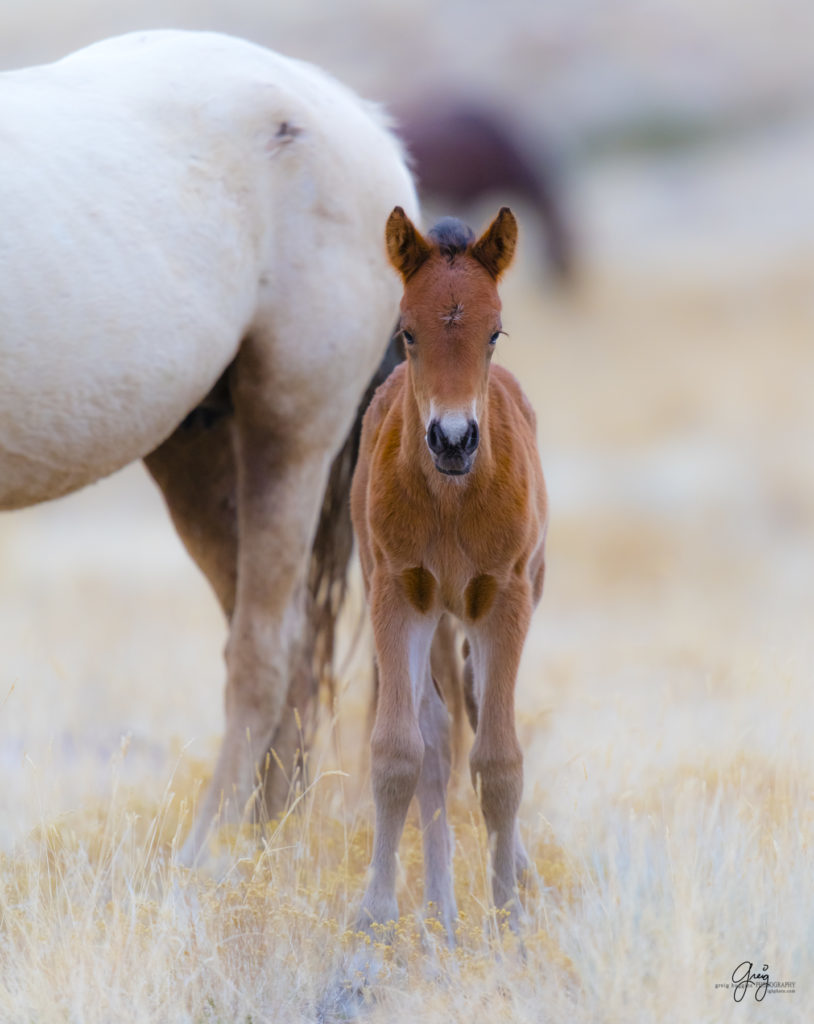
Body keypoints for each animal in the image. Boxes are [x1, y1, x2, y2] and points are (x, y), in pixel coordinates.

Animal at [0, 32, 419, 860]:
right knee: (279, 648)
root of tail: (360, 118)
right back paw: (263, 835)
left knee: (266, 649)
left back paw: (209, 852)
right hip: (197, 454)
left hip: (292, 431)